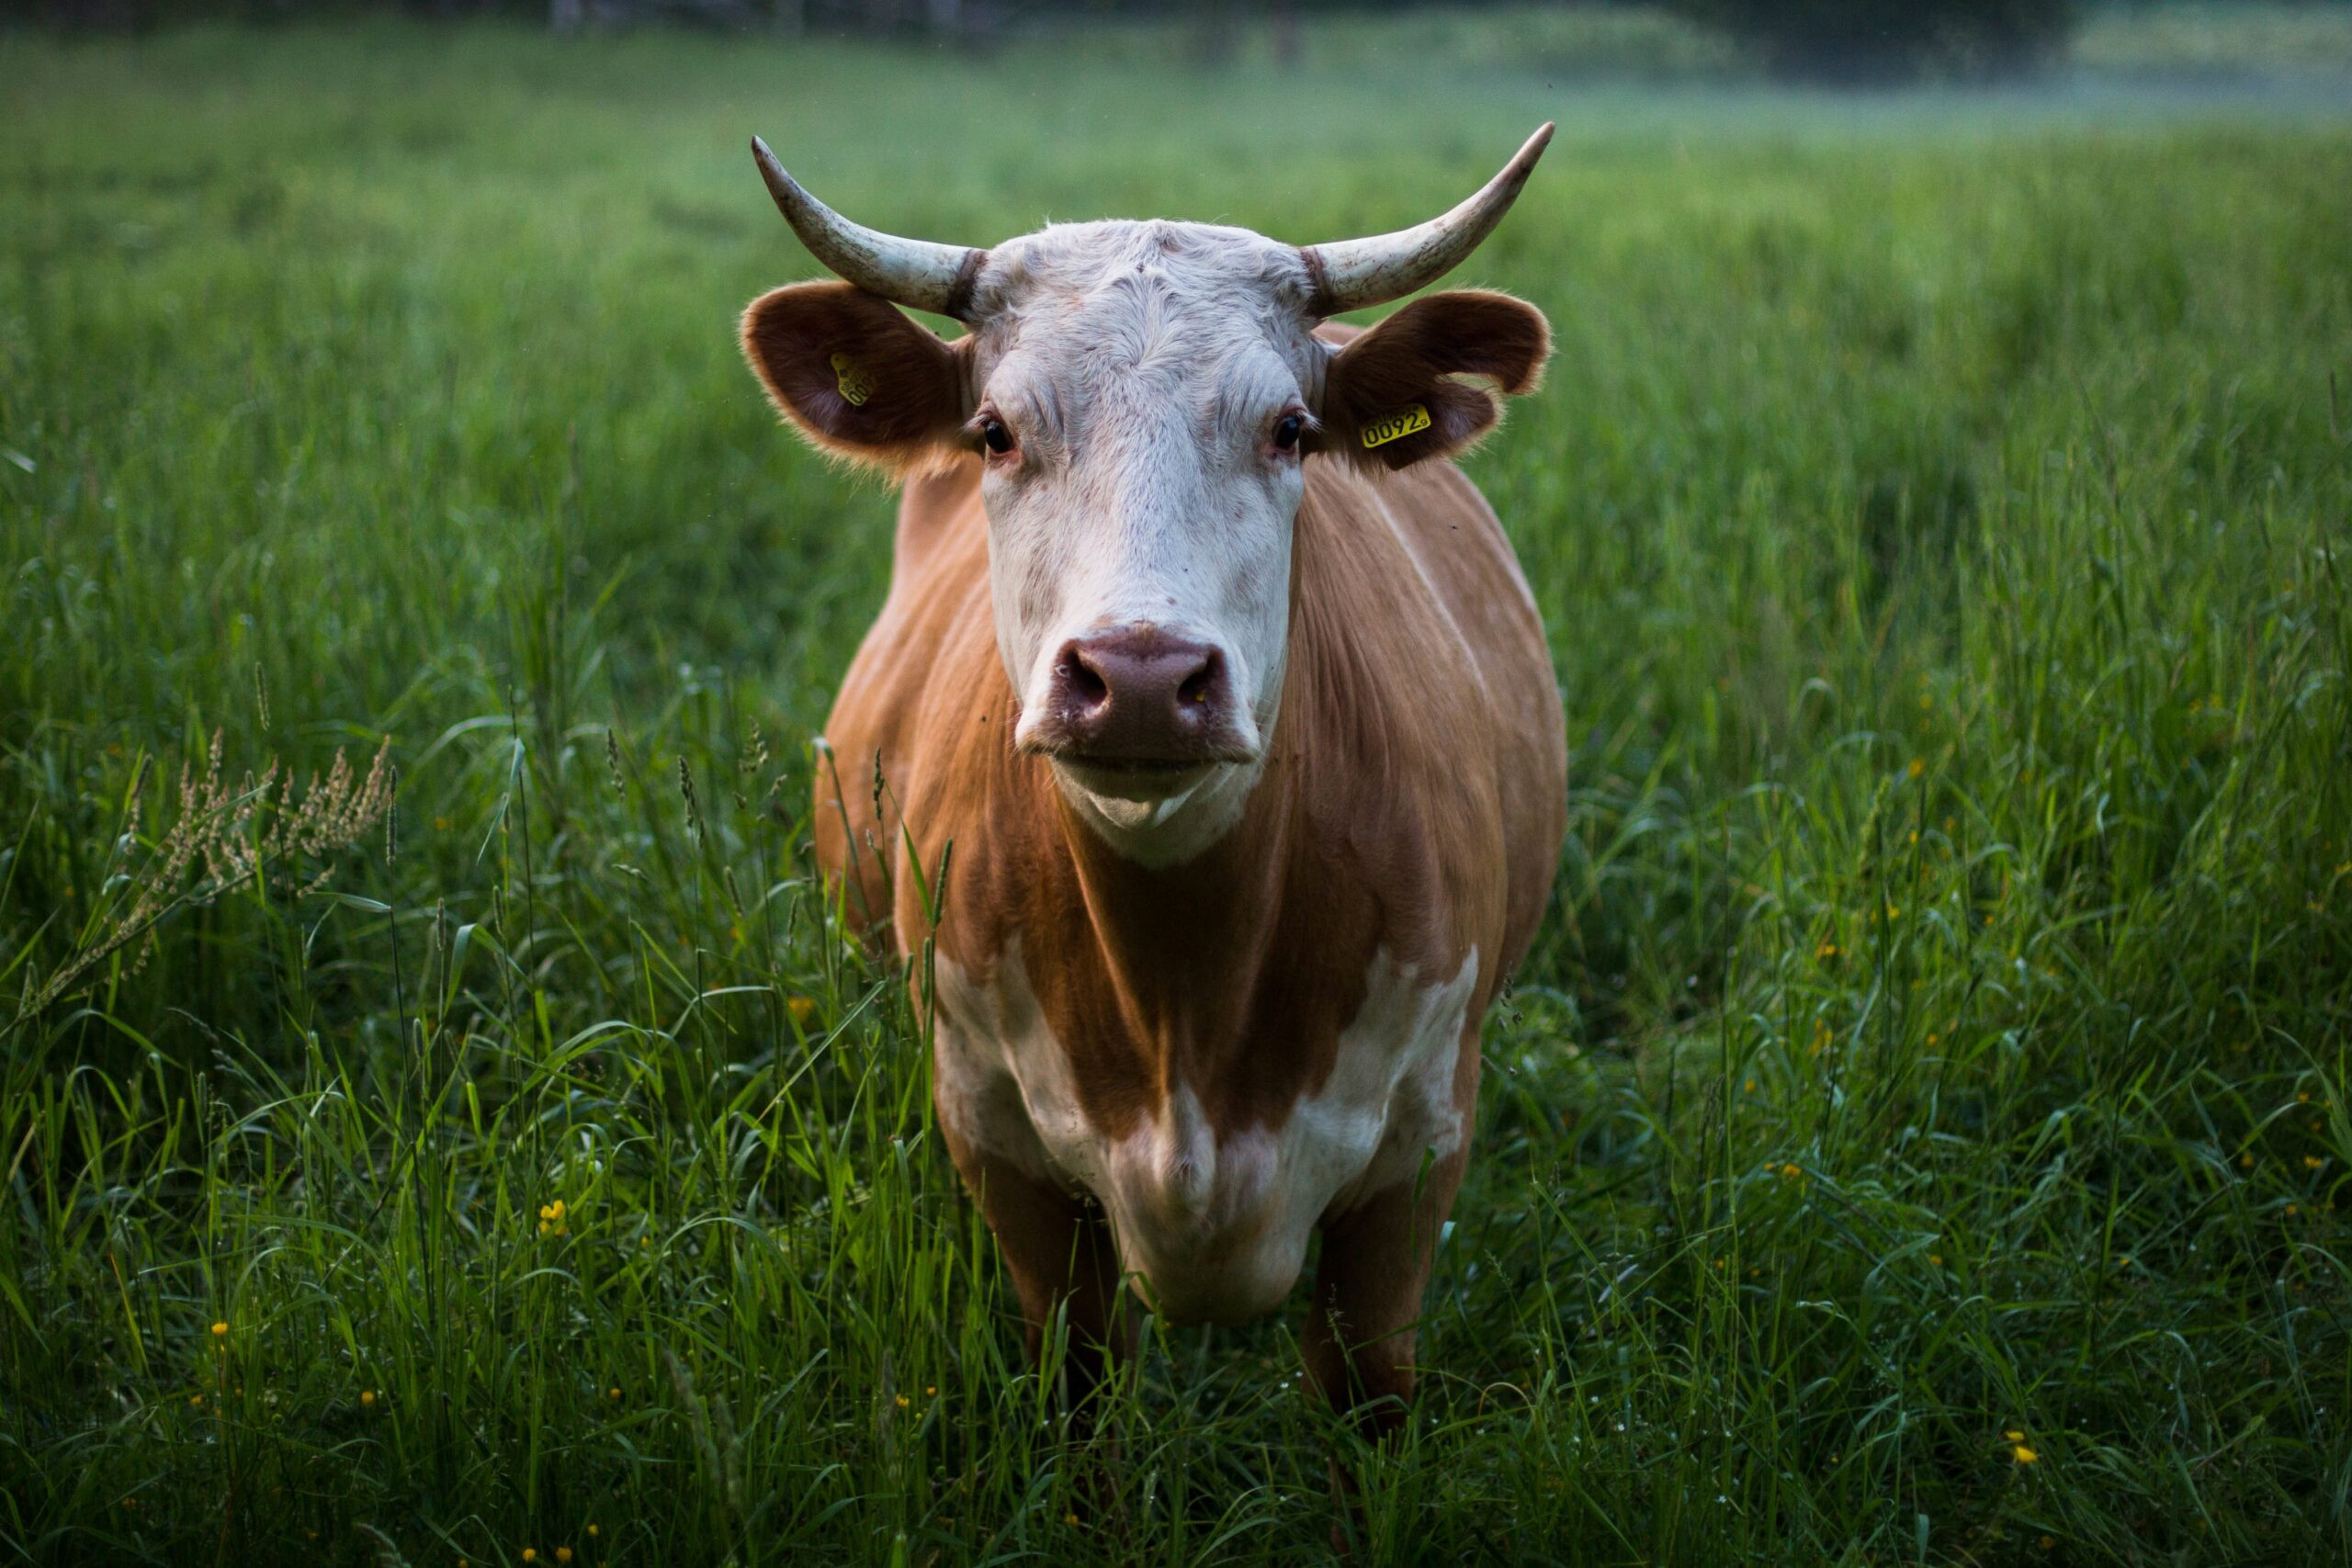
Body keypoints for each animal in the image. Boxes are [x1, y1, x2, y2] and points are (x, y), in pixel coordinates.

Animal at [742, 129, 1571, 1476]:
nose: (1138, 678)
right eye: (993, 431)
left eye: (1291, 428)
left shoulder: (1418, 1155)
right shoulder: (1000, 1146)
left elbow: (1366, 1400)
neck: (1186, 993)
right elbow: (1081, 1396)